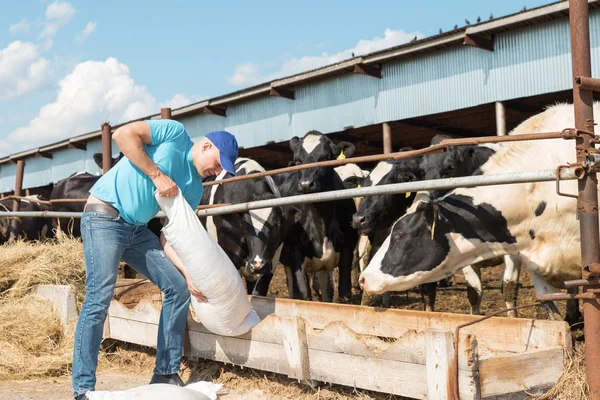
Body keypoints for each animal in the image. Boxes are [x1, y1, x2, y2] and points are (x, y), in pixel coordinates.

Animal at [276, 131, 358, 304]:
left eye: (326, 157)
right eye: (298, 160)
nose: (306, 184)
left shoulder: (347, 248)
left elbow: (342, 292)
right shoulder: (296, 254)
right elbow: (302, 294)